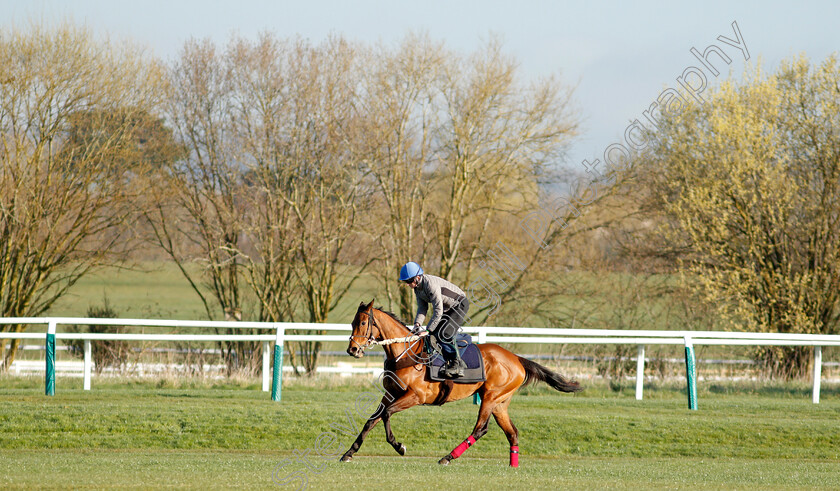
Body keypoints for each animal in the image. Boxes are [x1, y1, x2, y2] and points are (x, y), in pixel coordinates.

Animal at [338, 300, 580, 468]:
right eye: (351, 323)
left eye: (362, 323)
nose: (352, 349)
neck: (405, 353)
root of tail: (517, 358)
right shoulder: (389, 394)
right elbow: (371, 421)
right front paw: (349, 453)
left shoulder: (415, 396)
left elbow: (387, 414)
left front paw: (399, 447)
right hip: (500, 403)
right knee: (512, 432)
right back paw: (513, 465)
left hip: (490, 397)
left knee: (481, 428)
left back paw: (448, 457)